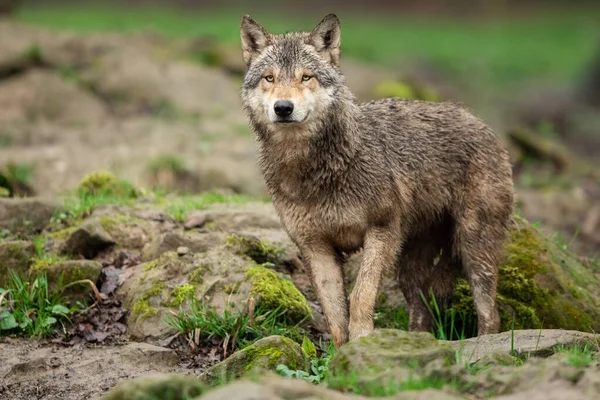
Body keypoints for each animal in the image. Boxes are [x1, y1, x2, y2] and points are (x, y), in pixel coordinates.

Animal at [239, 13, 516, 346]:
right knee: (422, 311)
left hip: (472, 247)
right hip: (410, 265)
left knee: (490, 312)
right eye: (270, 78)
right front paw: (343, 354)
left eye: (306, 77)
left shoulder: (381, 232)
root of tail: (480, 121)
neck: (313, 170)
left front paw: (362, 342)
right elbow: (335, 316)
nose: (283, 107)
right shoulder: (315, 247)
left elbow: (361, 295)